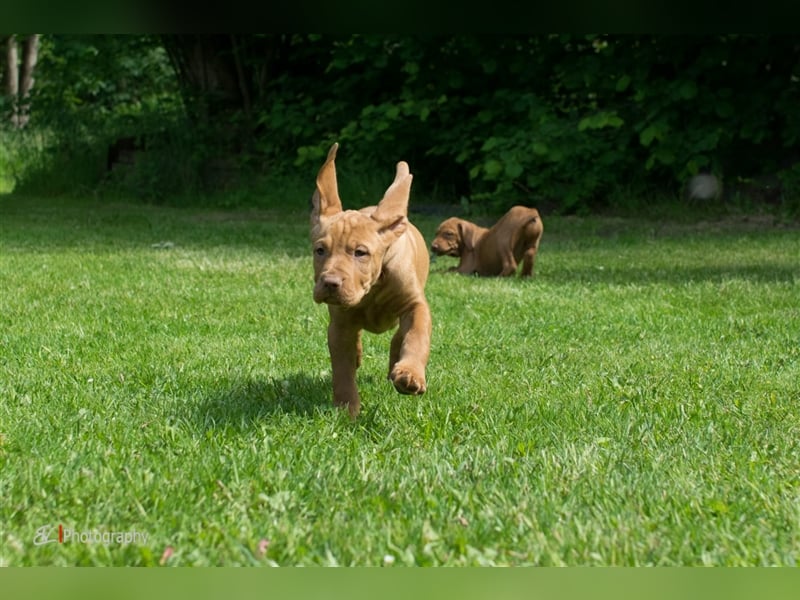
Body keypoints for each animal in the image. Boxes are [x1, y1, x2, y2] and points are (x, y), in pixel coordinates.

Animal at [310, 145, 432, 418]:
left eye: (360, 253)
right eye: (320, 250)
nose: (330, 283)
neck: (372, 289)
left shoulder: (415, 305)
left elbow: (416, 335)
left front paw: (410, 373)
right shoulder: (341, 322)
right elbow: (342, 368)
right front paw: (347, 409)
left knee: (399, 335)